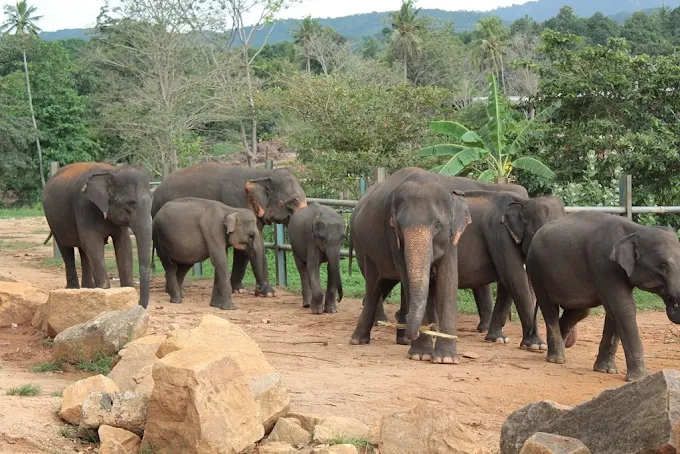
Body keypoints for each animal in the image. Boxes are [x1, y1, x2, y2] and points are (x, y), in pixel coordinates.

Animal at [42, 162, 153, 308]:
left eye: (152, 202)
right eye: (131, 203)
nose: (140, 305)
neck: (112, 171)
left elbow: (124, 245)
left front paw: (126, 290)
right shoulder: (84, 206)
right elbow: (93, 244)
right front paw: (105, 292)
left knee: (84, 251)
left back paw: (88, 288)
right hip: (53, 221)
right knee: (67, 250)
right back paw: (73, 289)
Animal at [150, 162, 308, 297]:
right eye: (292, 201)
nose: (260, 289)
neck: (260, 173)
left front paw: (240, 290)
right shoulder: (237, 203)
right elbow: (245, 247)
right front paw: (268, 293)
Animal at [349, 167, 471, 364]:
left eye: (437, 226)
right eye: (398, 226)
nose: (413, 330)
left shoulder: (452, 239)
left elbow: (448, 280)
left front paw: (446, 359)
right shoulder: (393, 236)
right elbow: (407, 275)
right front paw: (420, 354)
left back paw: (403, 340)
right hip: (365, 249)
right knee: (374, 286)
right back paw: (358, 340)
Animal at [526, 211, 680, 382]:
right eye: (663, 266)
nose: (673, 302)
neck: (636, 230)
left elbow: (615, 311)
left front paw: (606, 370)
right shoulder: (604, 264)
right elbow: (623, 307)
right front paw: (639, 378)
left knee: (579, 311)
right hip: (536, 270)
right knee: (550, 309)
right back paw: (557, 359)